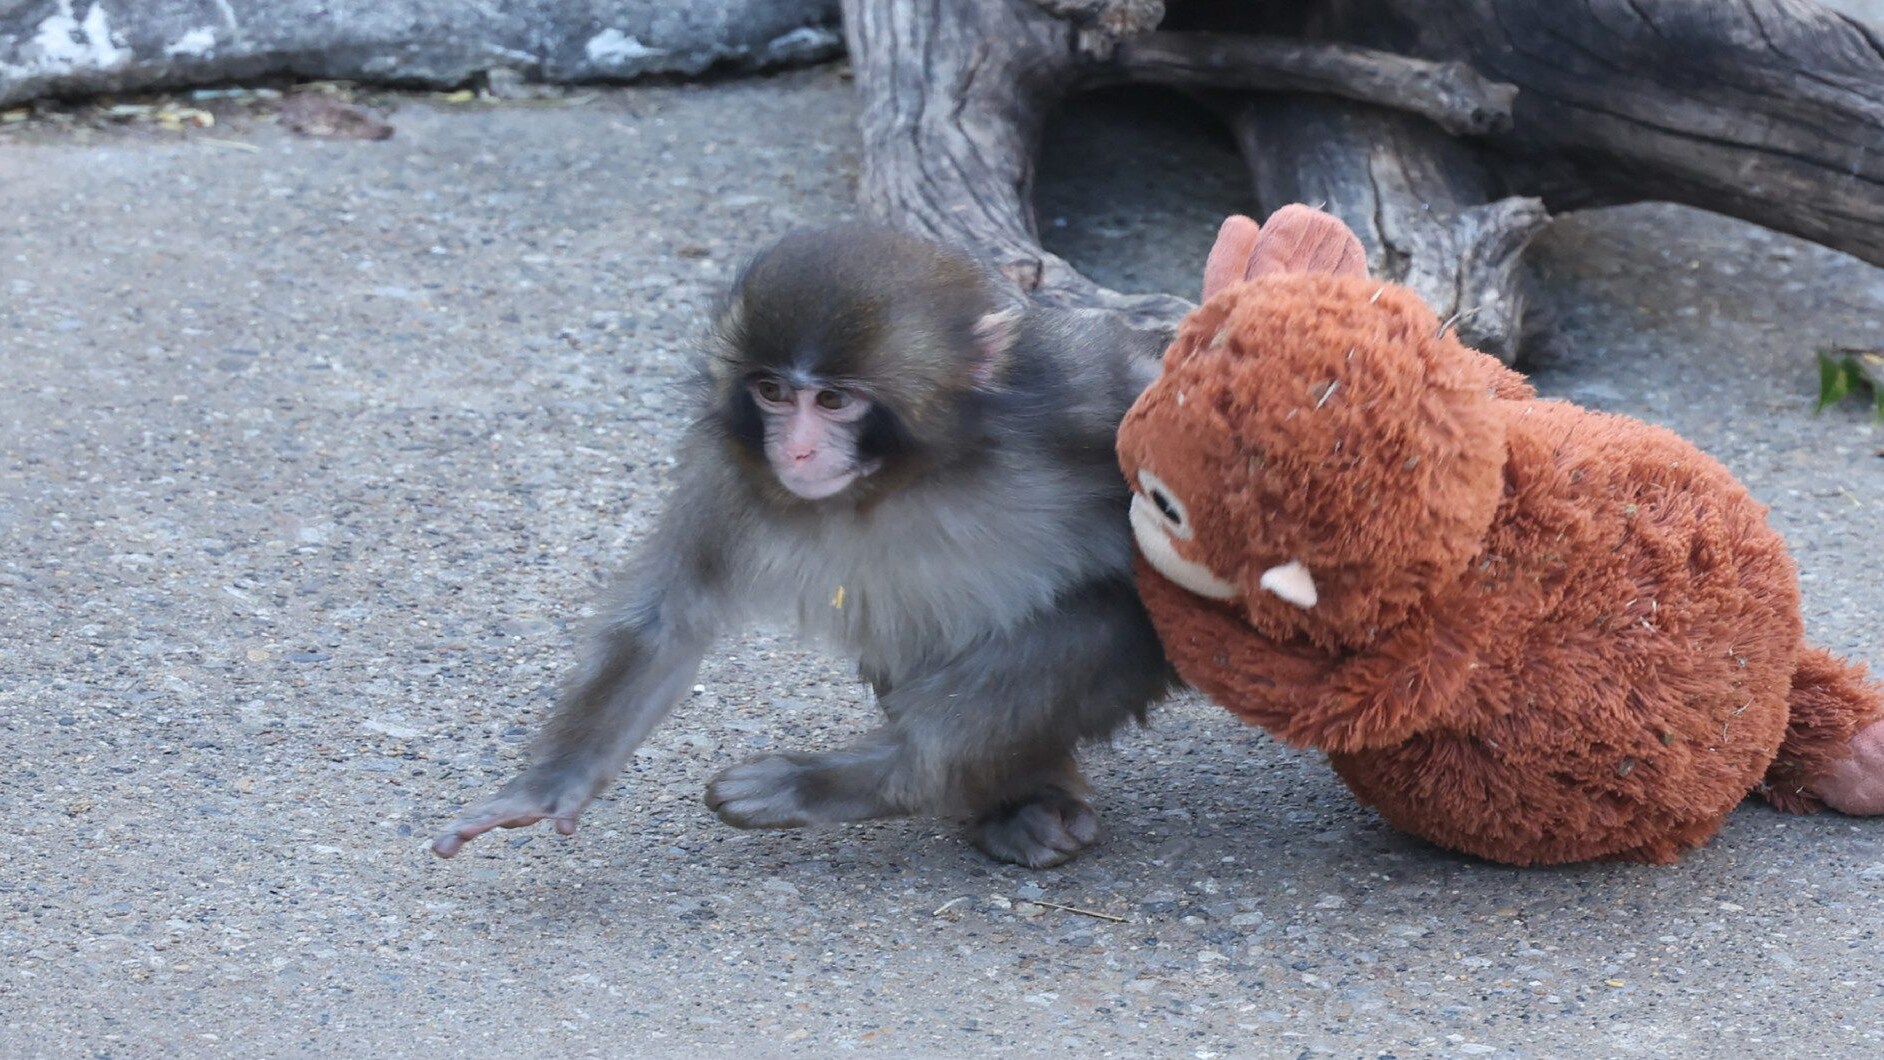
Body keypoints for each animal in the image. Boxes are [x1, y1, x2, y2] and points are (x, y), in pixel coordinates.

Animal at [431, 223, 1180, 868]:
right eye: (771, 392)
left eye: (833, 401)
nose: (794, 449)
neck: (907, 476)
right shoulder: (731, 470)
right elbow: (668, 619)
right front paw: (551, 783)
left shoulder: (1081, 398)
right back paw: (1016, 803)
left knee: (1103, 619)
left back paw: (873, 777)